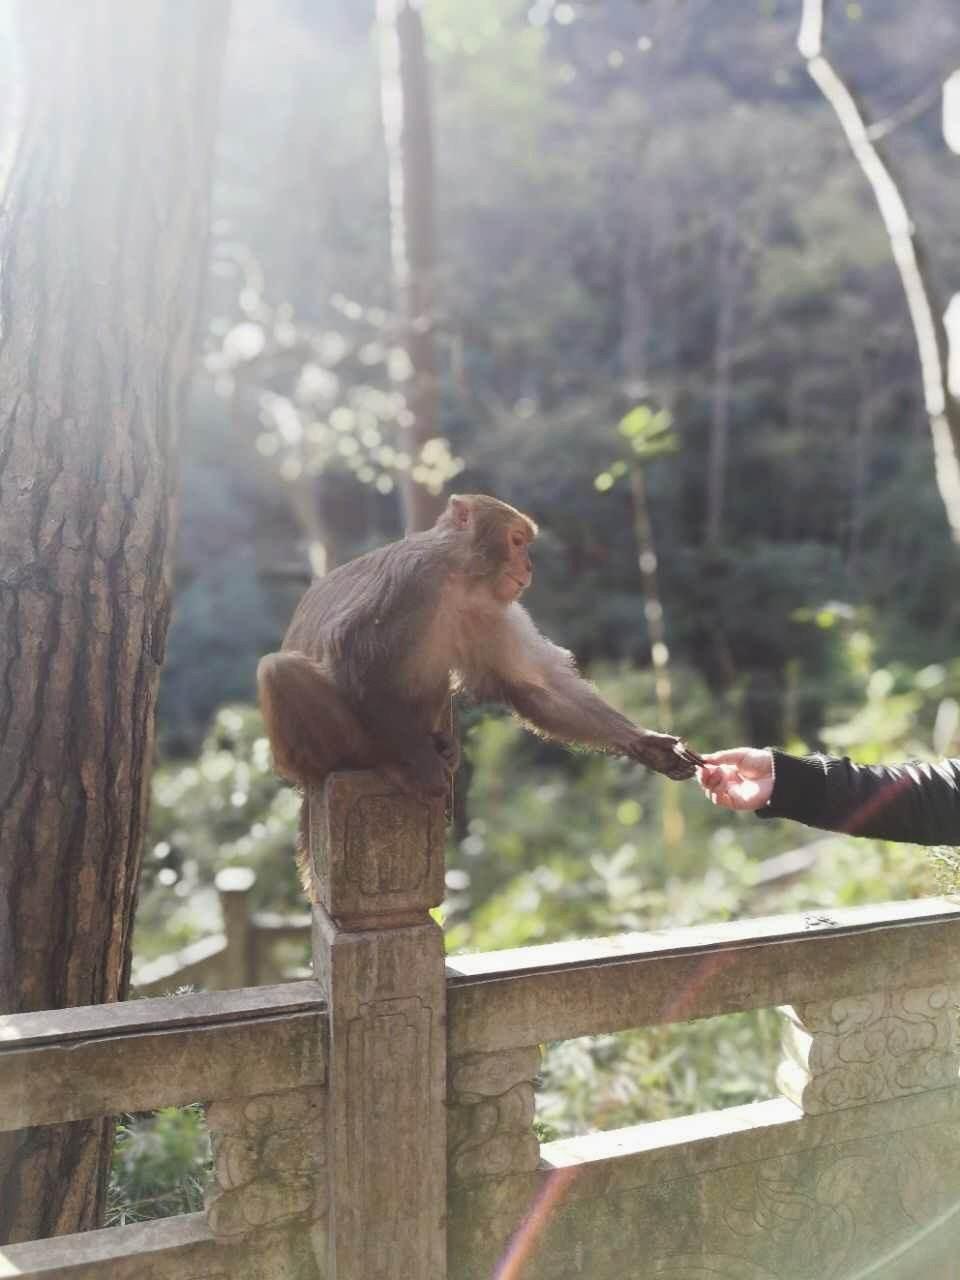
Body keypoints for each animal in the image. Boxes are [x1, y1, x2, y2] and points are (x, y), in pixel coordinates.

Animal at [259, 491, 701, 880]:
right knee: (280, 671)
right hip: (313, 753)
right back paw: (383, 760)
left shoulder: (488, 609)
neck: (458, 577)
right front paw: (420, 766)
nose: (529, 566)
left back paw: (443, 746)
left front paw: (647, 744)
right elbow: (354, 662)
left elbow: (532, 684)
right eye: (517, 541)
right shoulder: (411, 581)